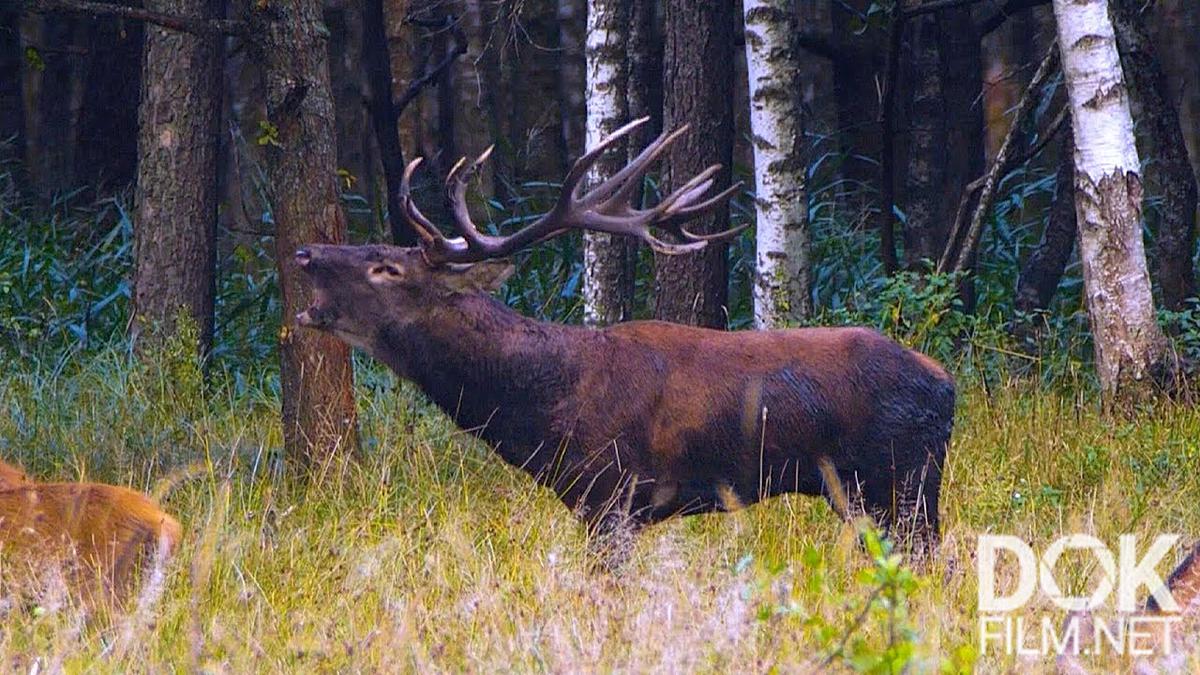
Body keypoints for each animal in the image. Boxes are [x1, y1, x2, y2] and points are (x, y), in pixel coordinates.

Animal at [292, 118, 955, 554]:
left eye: (386, 267)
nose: (304, 252)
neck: (543, 405)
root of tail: (948, 387)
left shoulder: (611, 494)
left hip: (902, 481)